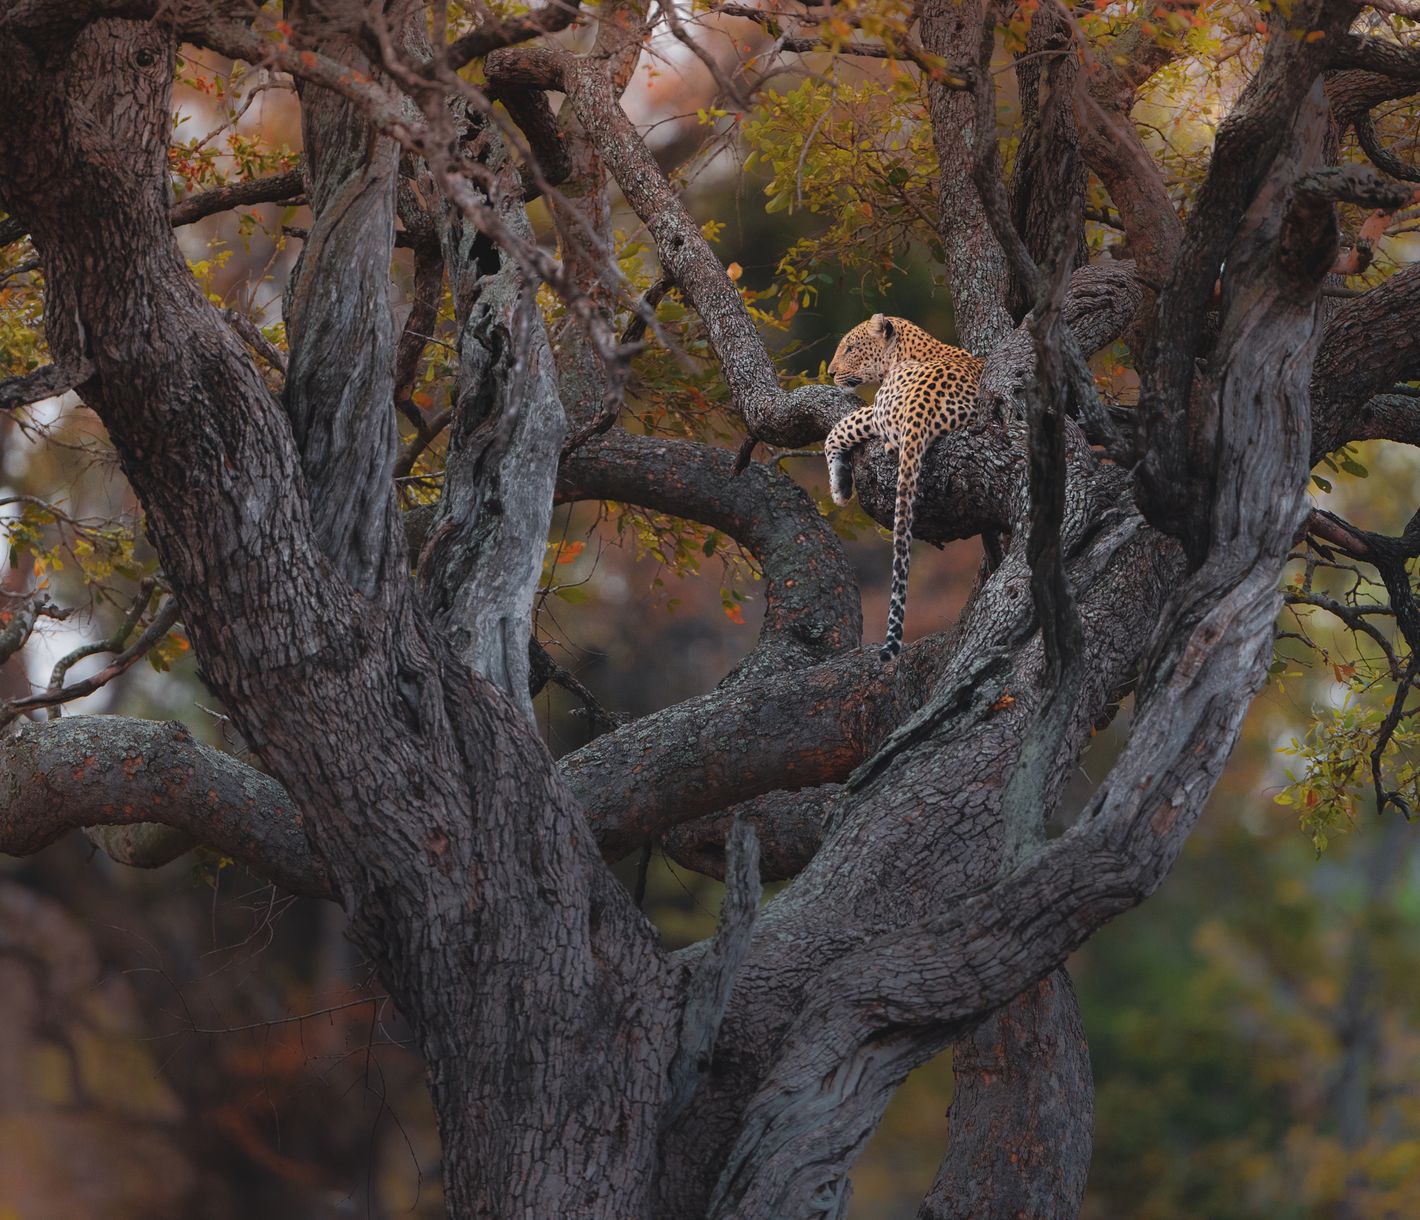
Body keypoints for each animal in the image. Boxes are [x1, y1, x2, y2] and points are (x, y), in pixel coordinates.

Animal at [824, 314, 983, 661]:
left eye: (851, 347)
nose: (829, 372)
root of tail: (924, 406)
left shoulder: (871, 409)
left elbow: (839, 428)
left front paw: (840, 488)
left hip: (883, 408)